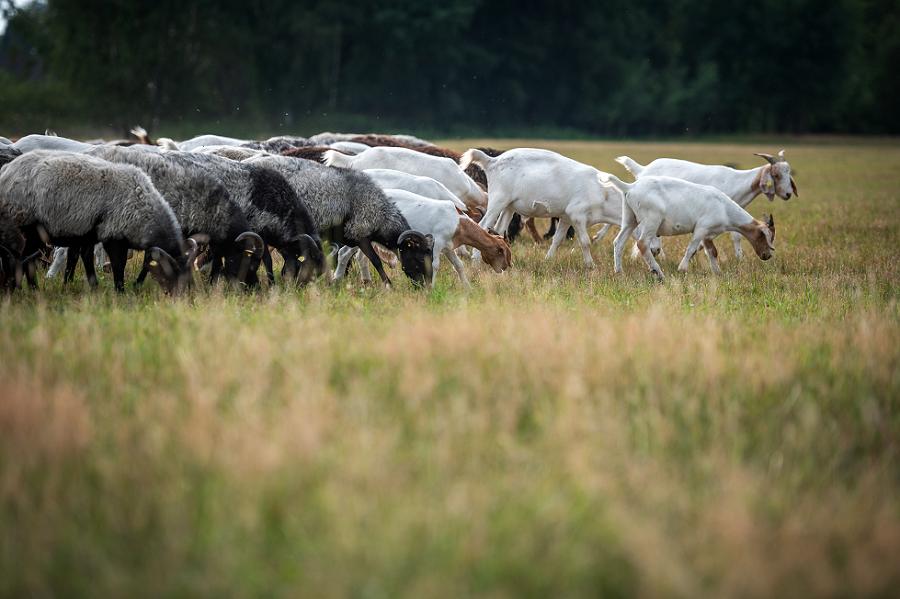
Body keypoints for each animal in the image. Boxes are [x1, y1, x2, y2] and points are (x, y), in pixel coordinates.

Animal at [0, 151, 194, 292]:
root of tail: (7, 170)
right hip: (28, 226)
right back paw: (28, 288)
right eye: (174, 271)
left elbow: (82, 258)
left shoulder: (87, 234)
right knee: (23, 258)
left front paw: (89, 286)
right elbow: (118, 265)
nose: (185, 296)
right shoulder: (114, 236)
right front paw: (120, 291)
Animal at [246, 154, 434, 287]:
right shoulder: (360, 233)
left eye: (430, 256)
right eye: (419, 258)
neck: (380, 216)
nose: (426, 287)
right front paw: (389, 286)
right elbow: (376, 261)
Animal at [460, 148, 623, 267]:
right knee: (482, 225)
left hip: (509, 206)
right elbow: (585, 241)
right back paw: (476, 261)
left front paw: (548, 260)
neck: (603, 193)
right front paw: (590, 266)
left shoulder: (566, 217)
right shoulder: (577, 215)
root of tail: (492, 161)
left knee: (498, 229)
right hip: (498, 200)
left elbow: (557, 239)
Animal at [602, 174, 776, 280]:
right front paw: (682, 269)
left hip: (629, 219)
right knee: (642, 243)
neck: (724, 207)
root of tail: (629, 187)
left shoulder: (708, 235)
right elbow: (691, 248)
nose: (767, 255)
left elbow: (712, 252)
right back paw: (659, 273)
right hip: (652, 220)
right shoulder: (701, 229)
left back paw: (619, 272)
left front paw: (718, 273)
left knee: (619, 242)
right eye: (765, 236)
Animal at [615, 150, 796, 258]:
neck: (736, 181)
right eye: (777, 175)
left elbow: (736, 236)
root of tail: (641, 169)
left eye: (789, 174)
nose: (788, 194)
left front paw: (739, 258)